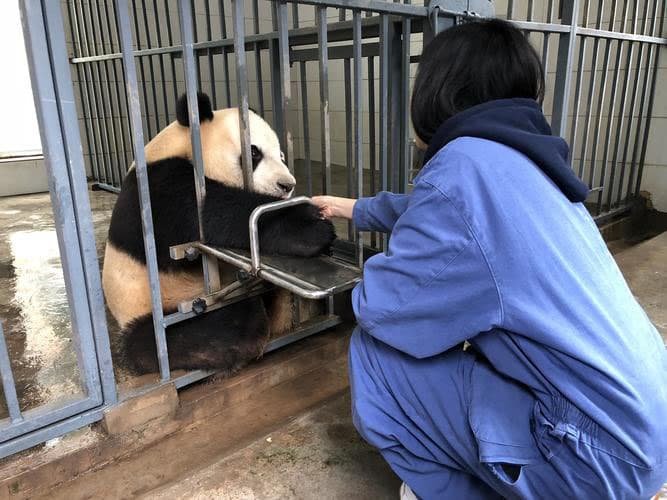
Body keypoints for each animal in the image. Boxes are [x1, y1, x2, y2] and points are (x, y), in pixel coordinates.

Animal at [102, 92, 336, 375]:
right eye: (254, 152)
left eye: (281, 155)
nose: (286, 185)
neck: (182, 147)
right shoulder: (160, 191)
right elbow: (214, 214)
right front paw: (311, 226)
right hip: (160, 304)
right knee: (190, 335)